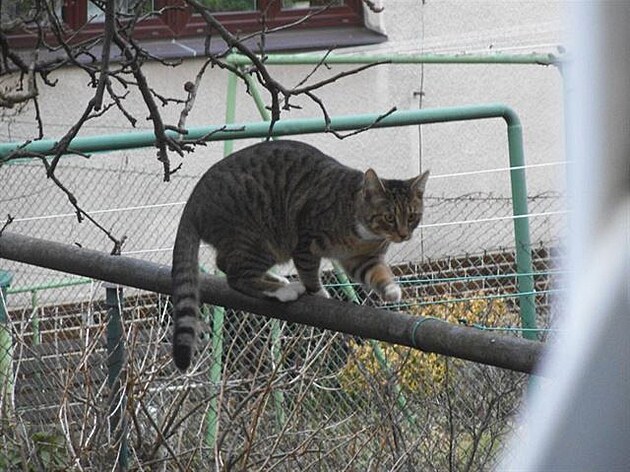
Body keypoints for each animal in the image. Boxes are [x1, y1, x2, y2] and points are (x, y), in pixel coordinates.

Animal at [173, 139, 430, 368]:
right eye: (389, 217)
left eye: (412, 216)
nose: (403, 235)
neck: (364, 236)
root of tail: (194, 201)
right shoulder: (307, 240)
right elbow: (308, 271)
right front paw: (318, 293)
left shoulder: (363, 259)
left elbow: (376, 273)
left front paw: (391, 289)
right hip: (259, 238)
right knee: (235, 275)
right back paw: (283, 290)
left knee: (225, 263)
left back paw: (277, 279)